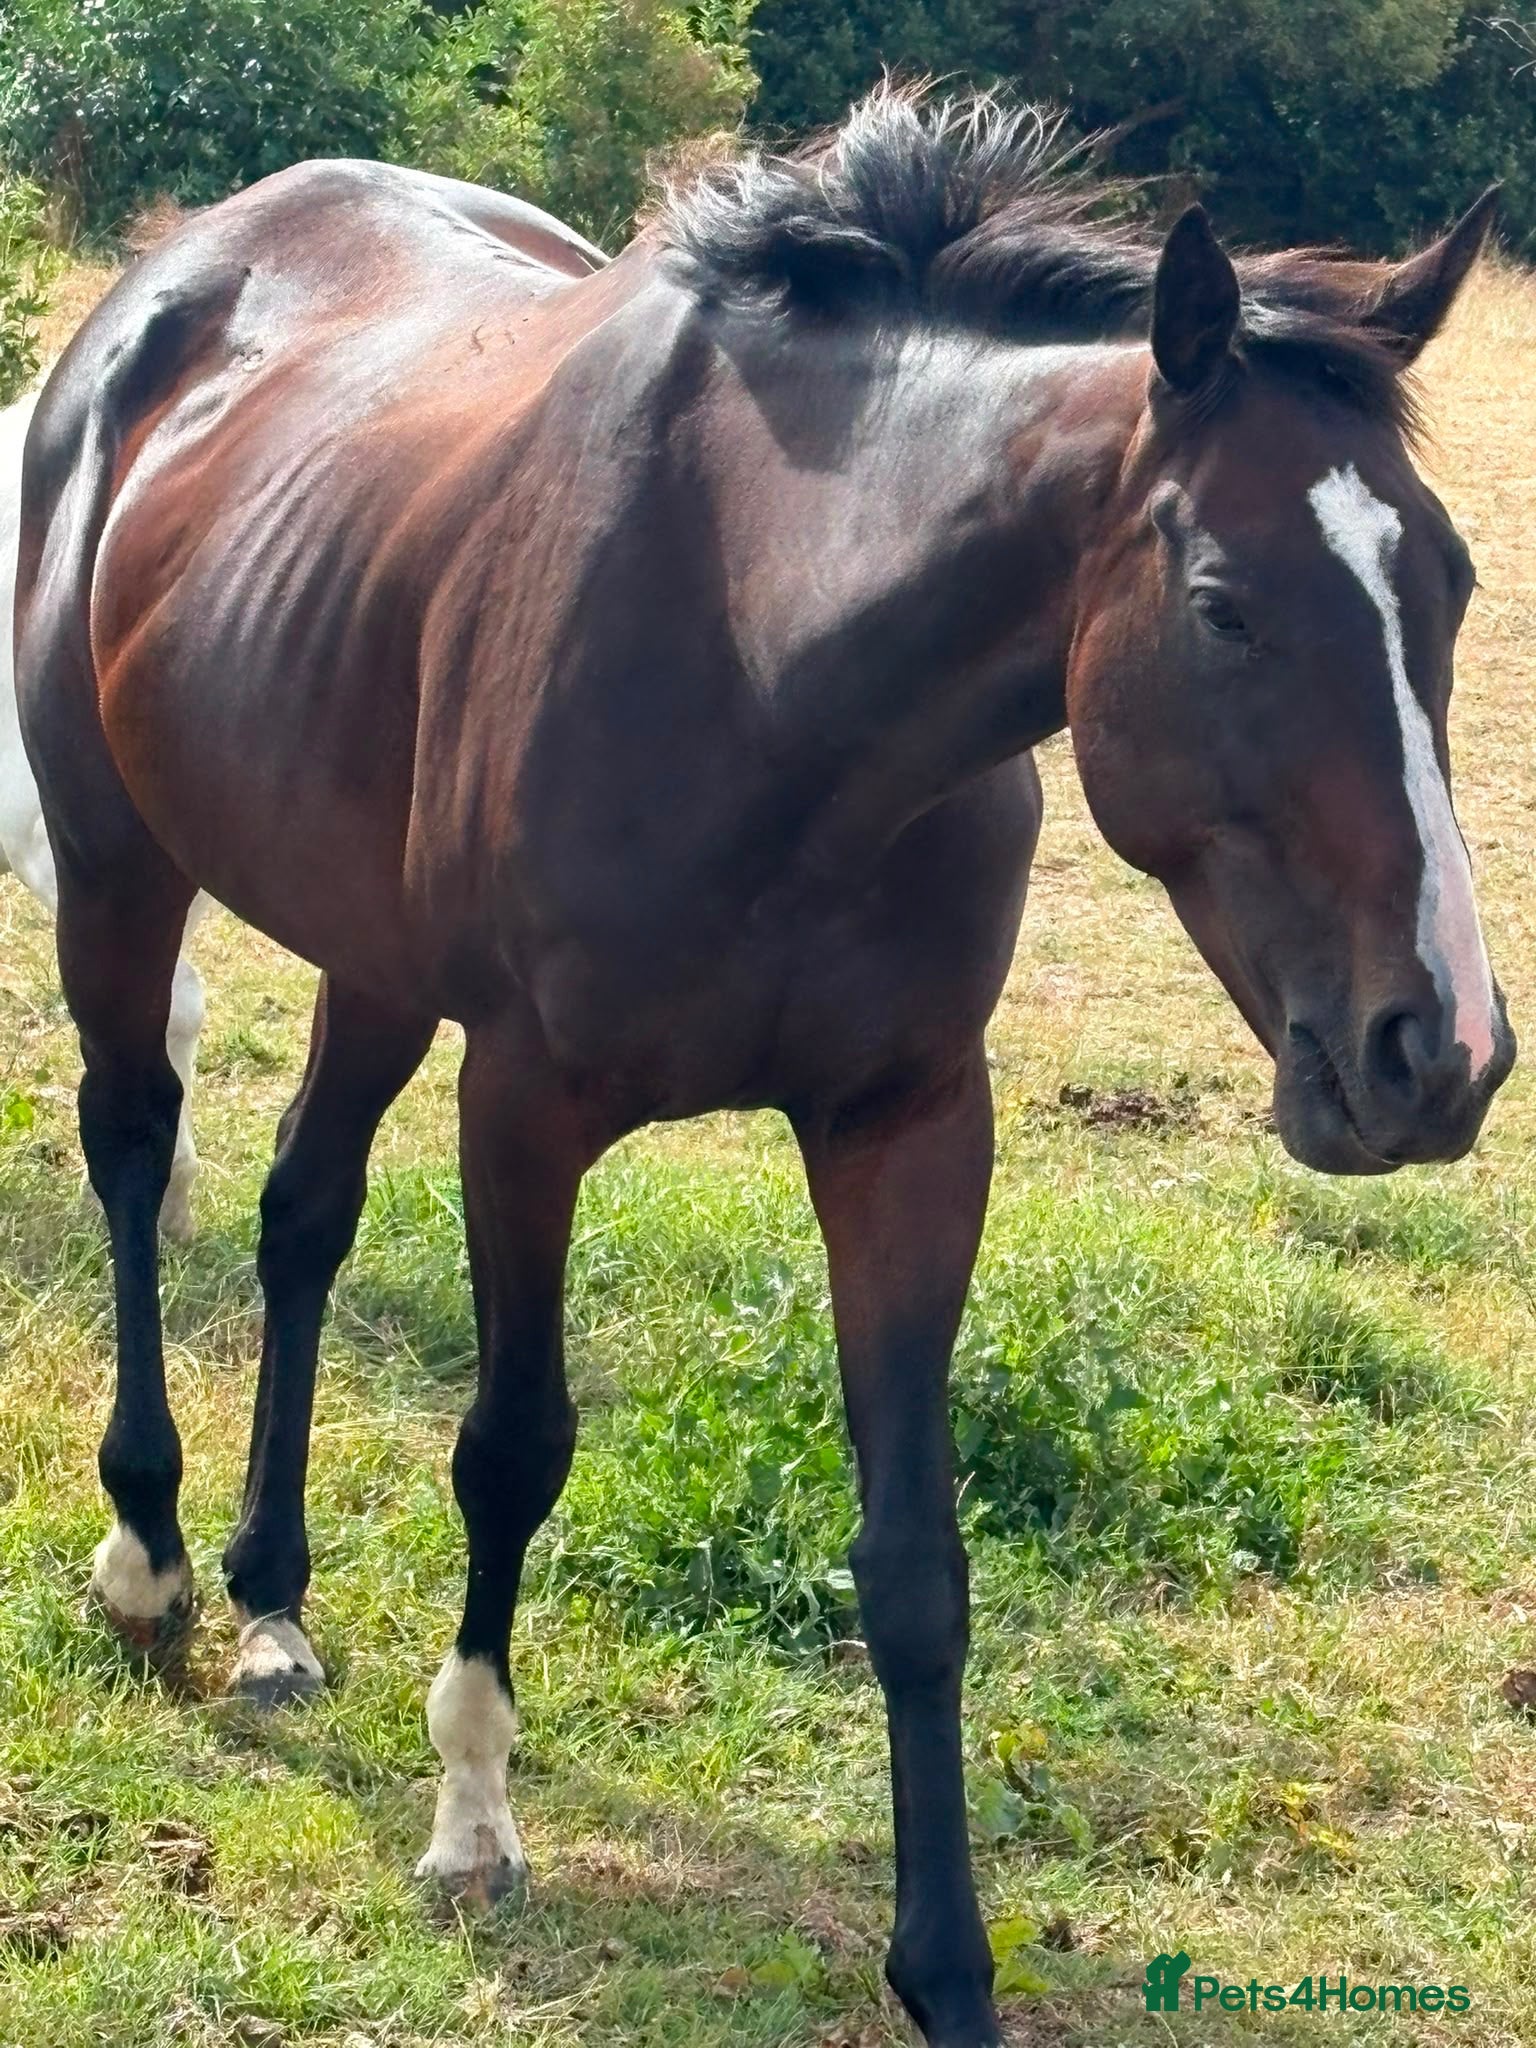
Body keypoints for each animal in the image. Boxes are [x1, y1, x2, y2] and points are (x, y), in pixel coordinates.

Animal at [14, 90, 1513, 2048]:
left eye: (1454, 586)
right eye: (1221, 605)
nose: (1441, 1051)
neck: (768, 656)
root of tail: (171, 281)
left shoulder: (909, 1126)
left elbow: (918, 1562)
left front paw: (946, 1966)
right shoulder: (526, 1107)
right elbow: (512, 1449)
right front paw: (473, 1810)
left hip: (370, 956)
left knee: (300, 1216)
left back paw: (274, 1603)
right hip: (120, 865)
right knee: (134, 1151)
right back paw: (152, 1559)